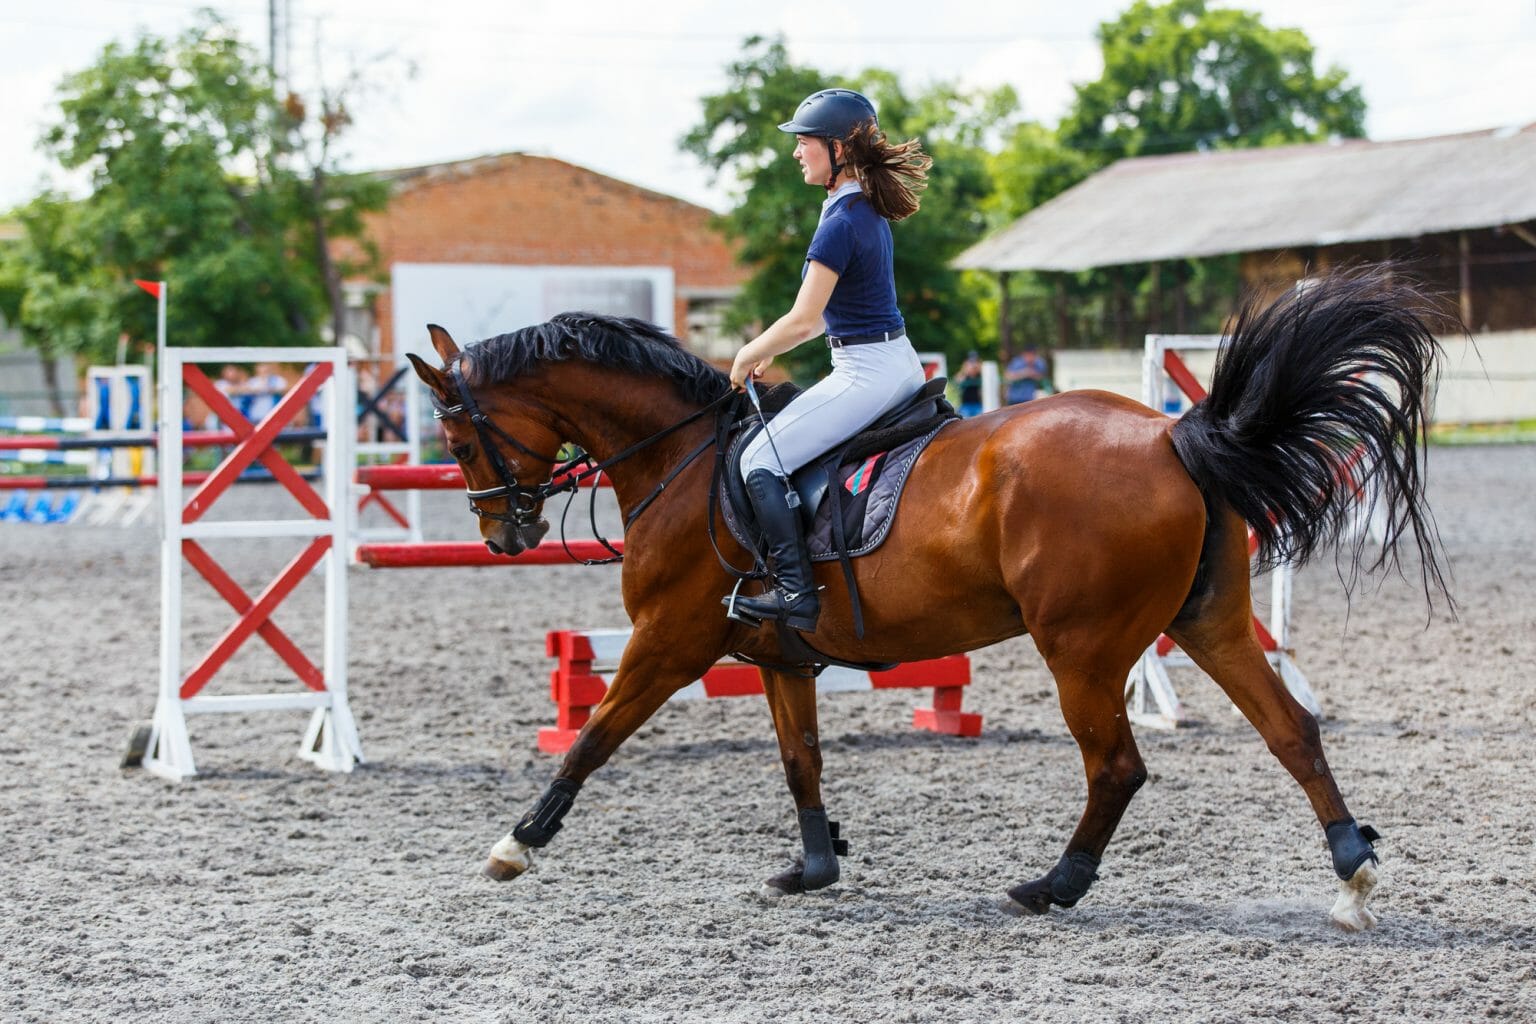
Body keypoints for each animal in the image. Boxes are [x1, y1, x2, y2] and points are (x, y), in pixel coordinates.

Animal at [406, 268, 1448, 930]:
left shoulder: (668, 640)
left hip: (1081, 647)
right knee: (1291, 732)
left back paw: (1053, 887)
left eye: (456, 438)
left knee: (1117, 768)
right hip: (1208, 623)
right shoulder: (780, 657)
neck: (685, 459)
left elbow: (591, 738)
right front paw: (814, 869)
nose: (501, 535)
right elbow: (801, 763)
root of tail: (1171, 437)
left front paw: (514, 845)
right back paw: (1353, 876)